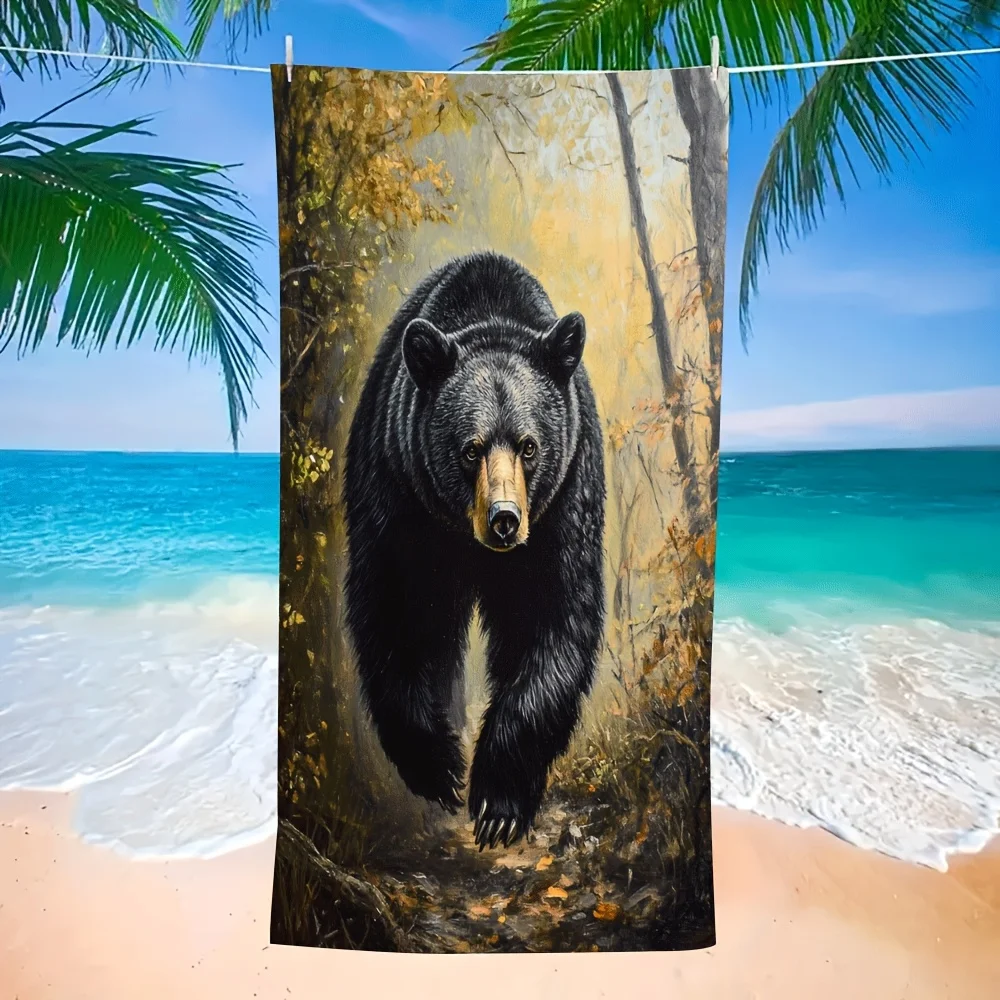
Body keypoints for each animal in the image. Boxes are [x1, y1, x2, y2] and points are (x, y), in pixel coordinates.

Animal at [343, 251, 606, 851]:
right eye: (470, 448)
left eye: (529, 446)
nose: (505, 519)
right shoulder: (401, 494)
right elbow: (398, 612)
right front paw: (438, 767)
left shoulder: (563, 502)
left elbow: (553, 620)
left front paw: (498, 803)